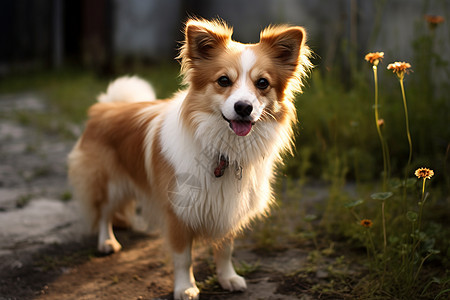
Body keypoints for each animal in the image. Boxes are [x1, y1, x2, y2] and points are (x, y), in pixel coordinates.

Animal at [67, 18, 312, 300]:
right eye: (223, 80)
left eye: (262, 83)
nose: (243, 107)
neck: (223, 149)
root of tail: (107, 106)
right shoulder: (178, 211)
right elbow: (183, 258)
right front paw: (185, 287)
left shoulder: (227, 207)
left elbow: (225, 250)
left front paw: (227, 278)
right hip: (111, 182)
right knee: (104, 211)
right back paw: (107, 241)